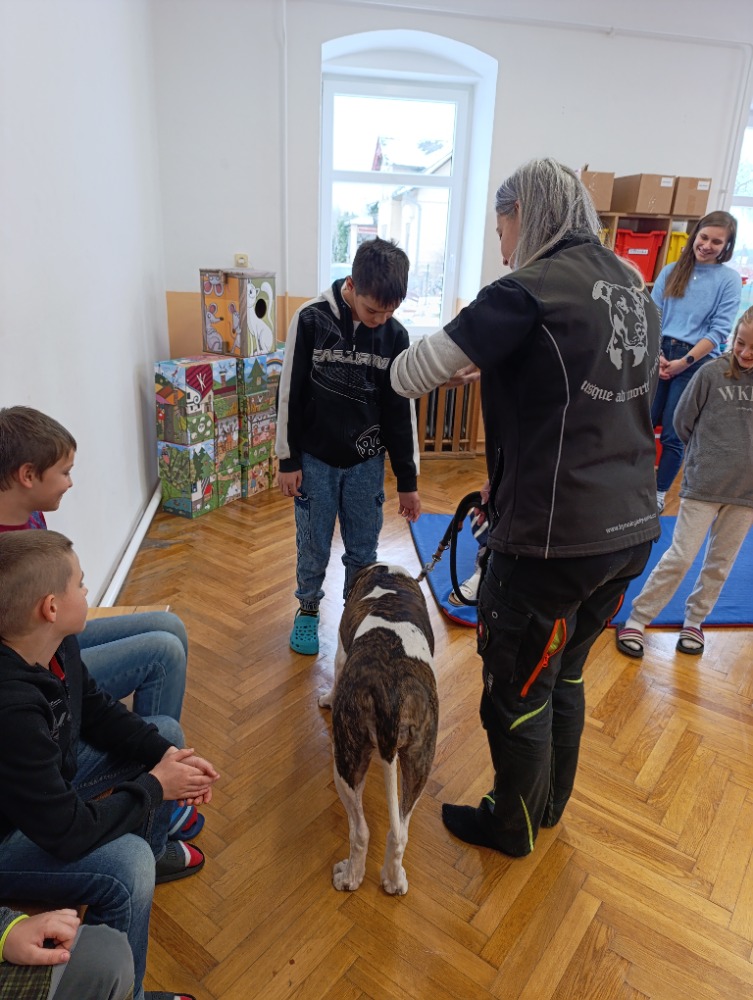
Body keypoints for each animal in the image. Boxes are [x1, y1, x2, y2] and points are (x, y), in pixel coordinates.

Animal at [318, 563, 438, 895]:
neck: (387, 576)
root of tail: (391, 695)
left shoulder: (341, 653)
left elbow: (335, 675)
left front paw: (327, 698)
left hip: (346, 761)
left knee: (360, 831)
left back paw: (349, 877)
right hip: (420, 760)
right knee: (400, 832)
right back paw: (394, 880)